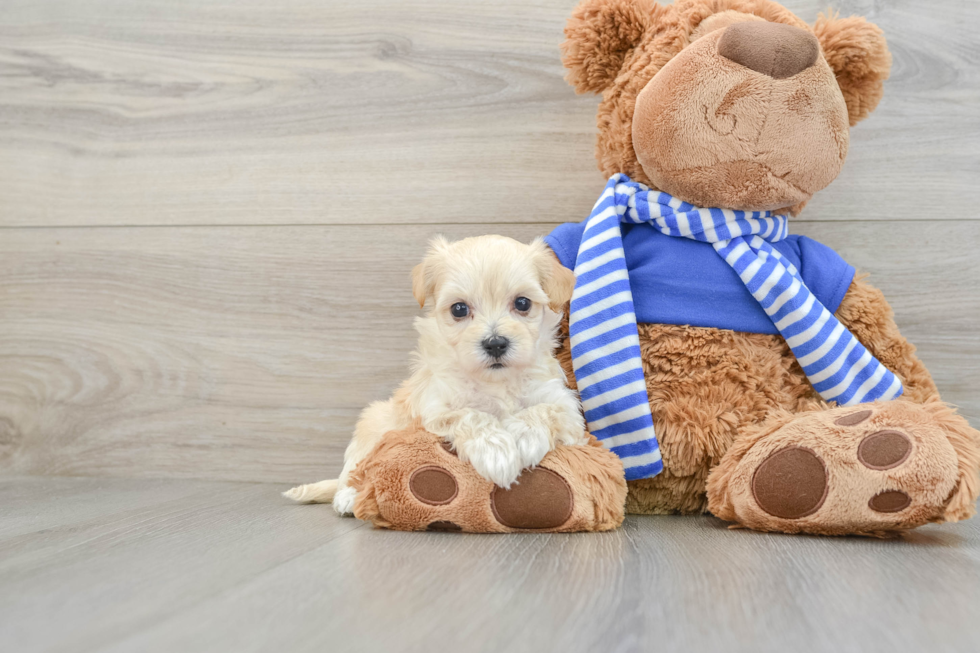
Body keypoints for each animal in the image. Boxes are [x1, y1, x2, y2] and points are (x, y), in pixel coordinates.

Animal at [286, 234, 588, 516]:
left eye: (523, 303)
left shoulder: (564, 404)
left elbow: (545, 410)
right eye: (459, 309)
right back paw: (348, 497)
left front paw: (525, 437)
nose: (495, 343)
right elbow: (471, 415)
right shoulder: (436, 409)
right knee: (354, 469)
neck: (495, 382)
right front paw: (496, 453)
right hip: (374, 423)